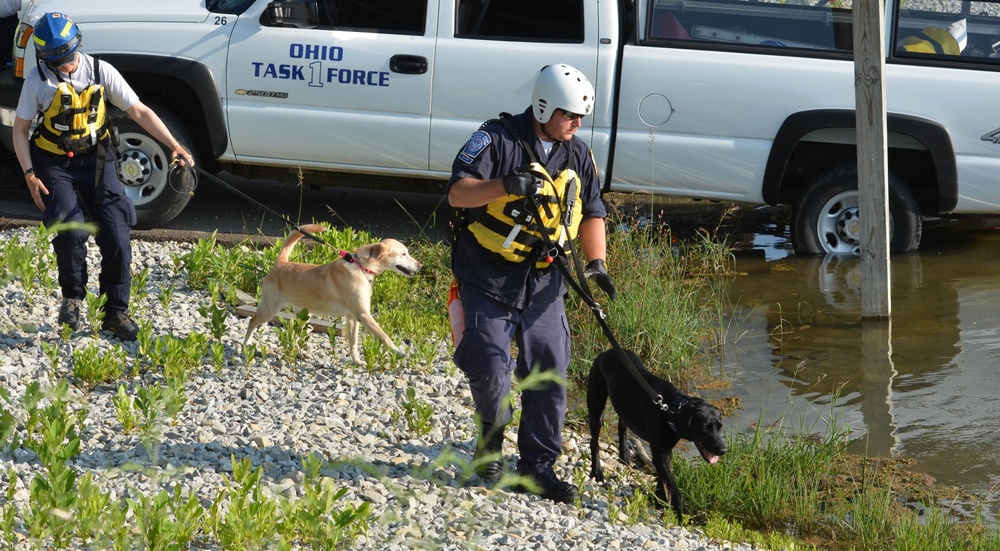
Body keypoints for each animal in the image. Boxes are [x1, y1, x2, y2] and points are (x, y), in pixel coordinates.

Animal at [584, 350, 728, 516]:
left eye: (720, 427)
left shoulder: (665, 451)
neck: (672, 409)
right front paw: (683, 513)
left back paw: (624, 453)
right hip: (596, 407)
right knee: (594, 442)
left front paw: (659, 499)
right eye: (704, 427)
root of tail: (606, 352)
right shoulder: (660, 453)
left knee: (622, 424)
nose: (723, 450)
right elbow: (673, 487)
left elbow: (663, 479)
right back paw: (597, 472)